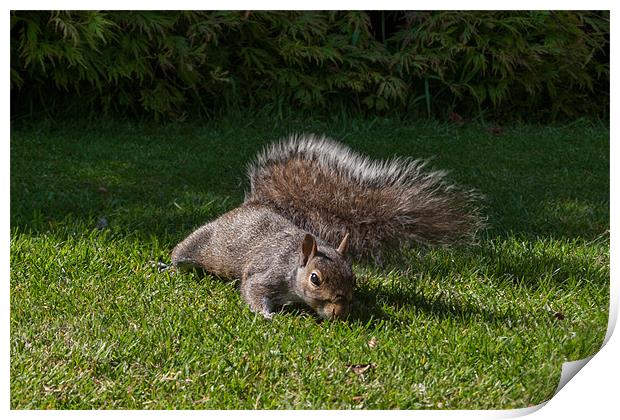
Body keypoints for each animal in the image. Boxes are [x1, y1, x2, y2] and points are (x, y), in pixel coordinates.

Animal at [171, 134, 484, 318]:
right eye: (315, 279)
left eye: (353, 277)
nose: (340, 311)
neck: (296, 264)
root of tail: (255, 203)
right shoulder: (267, 274)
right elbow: (253, 290)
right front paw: (267, 315)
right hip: (205, 240)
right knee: (185, 251)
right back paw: (170, 265)